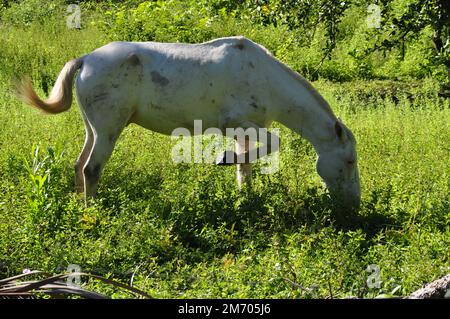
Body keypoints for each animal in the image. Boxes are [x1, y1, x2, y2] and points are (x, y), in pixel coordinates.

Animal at [15, 36, 360, 209]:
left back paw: (78, 206)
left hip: (94, 129)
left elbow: (246, 165)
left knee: (79, 164)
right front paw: (224, 160)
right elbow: (274, 143)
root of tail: (86, 59)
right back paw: (92, 214)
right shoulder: (238, 123)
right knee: (91, 169)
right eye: (349, 161)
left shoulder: (243, 131)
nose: (353, 205)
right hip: (109, 130)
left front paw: (244, 197)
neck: (263, 77)